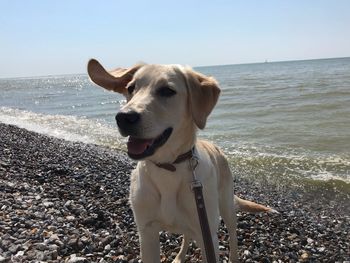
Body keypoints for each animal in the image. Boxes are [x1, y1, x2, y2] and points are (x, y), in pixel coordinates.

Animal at [87, 59, 274, 263]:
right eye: (131, 88)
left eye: (167, 91)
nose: (124, 117)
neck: (168, 168)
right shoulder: (147, 233)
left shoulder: (207, 236)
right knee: (186, 235)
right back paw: (179, 256)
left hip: (226, 205)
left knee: (232, 234)